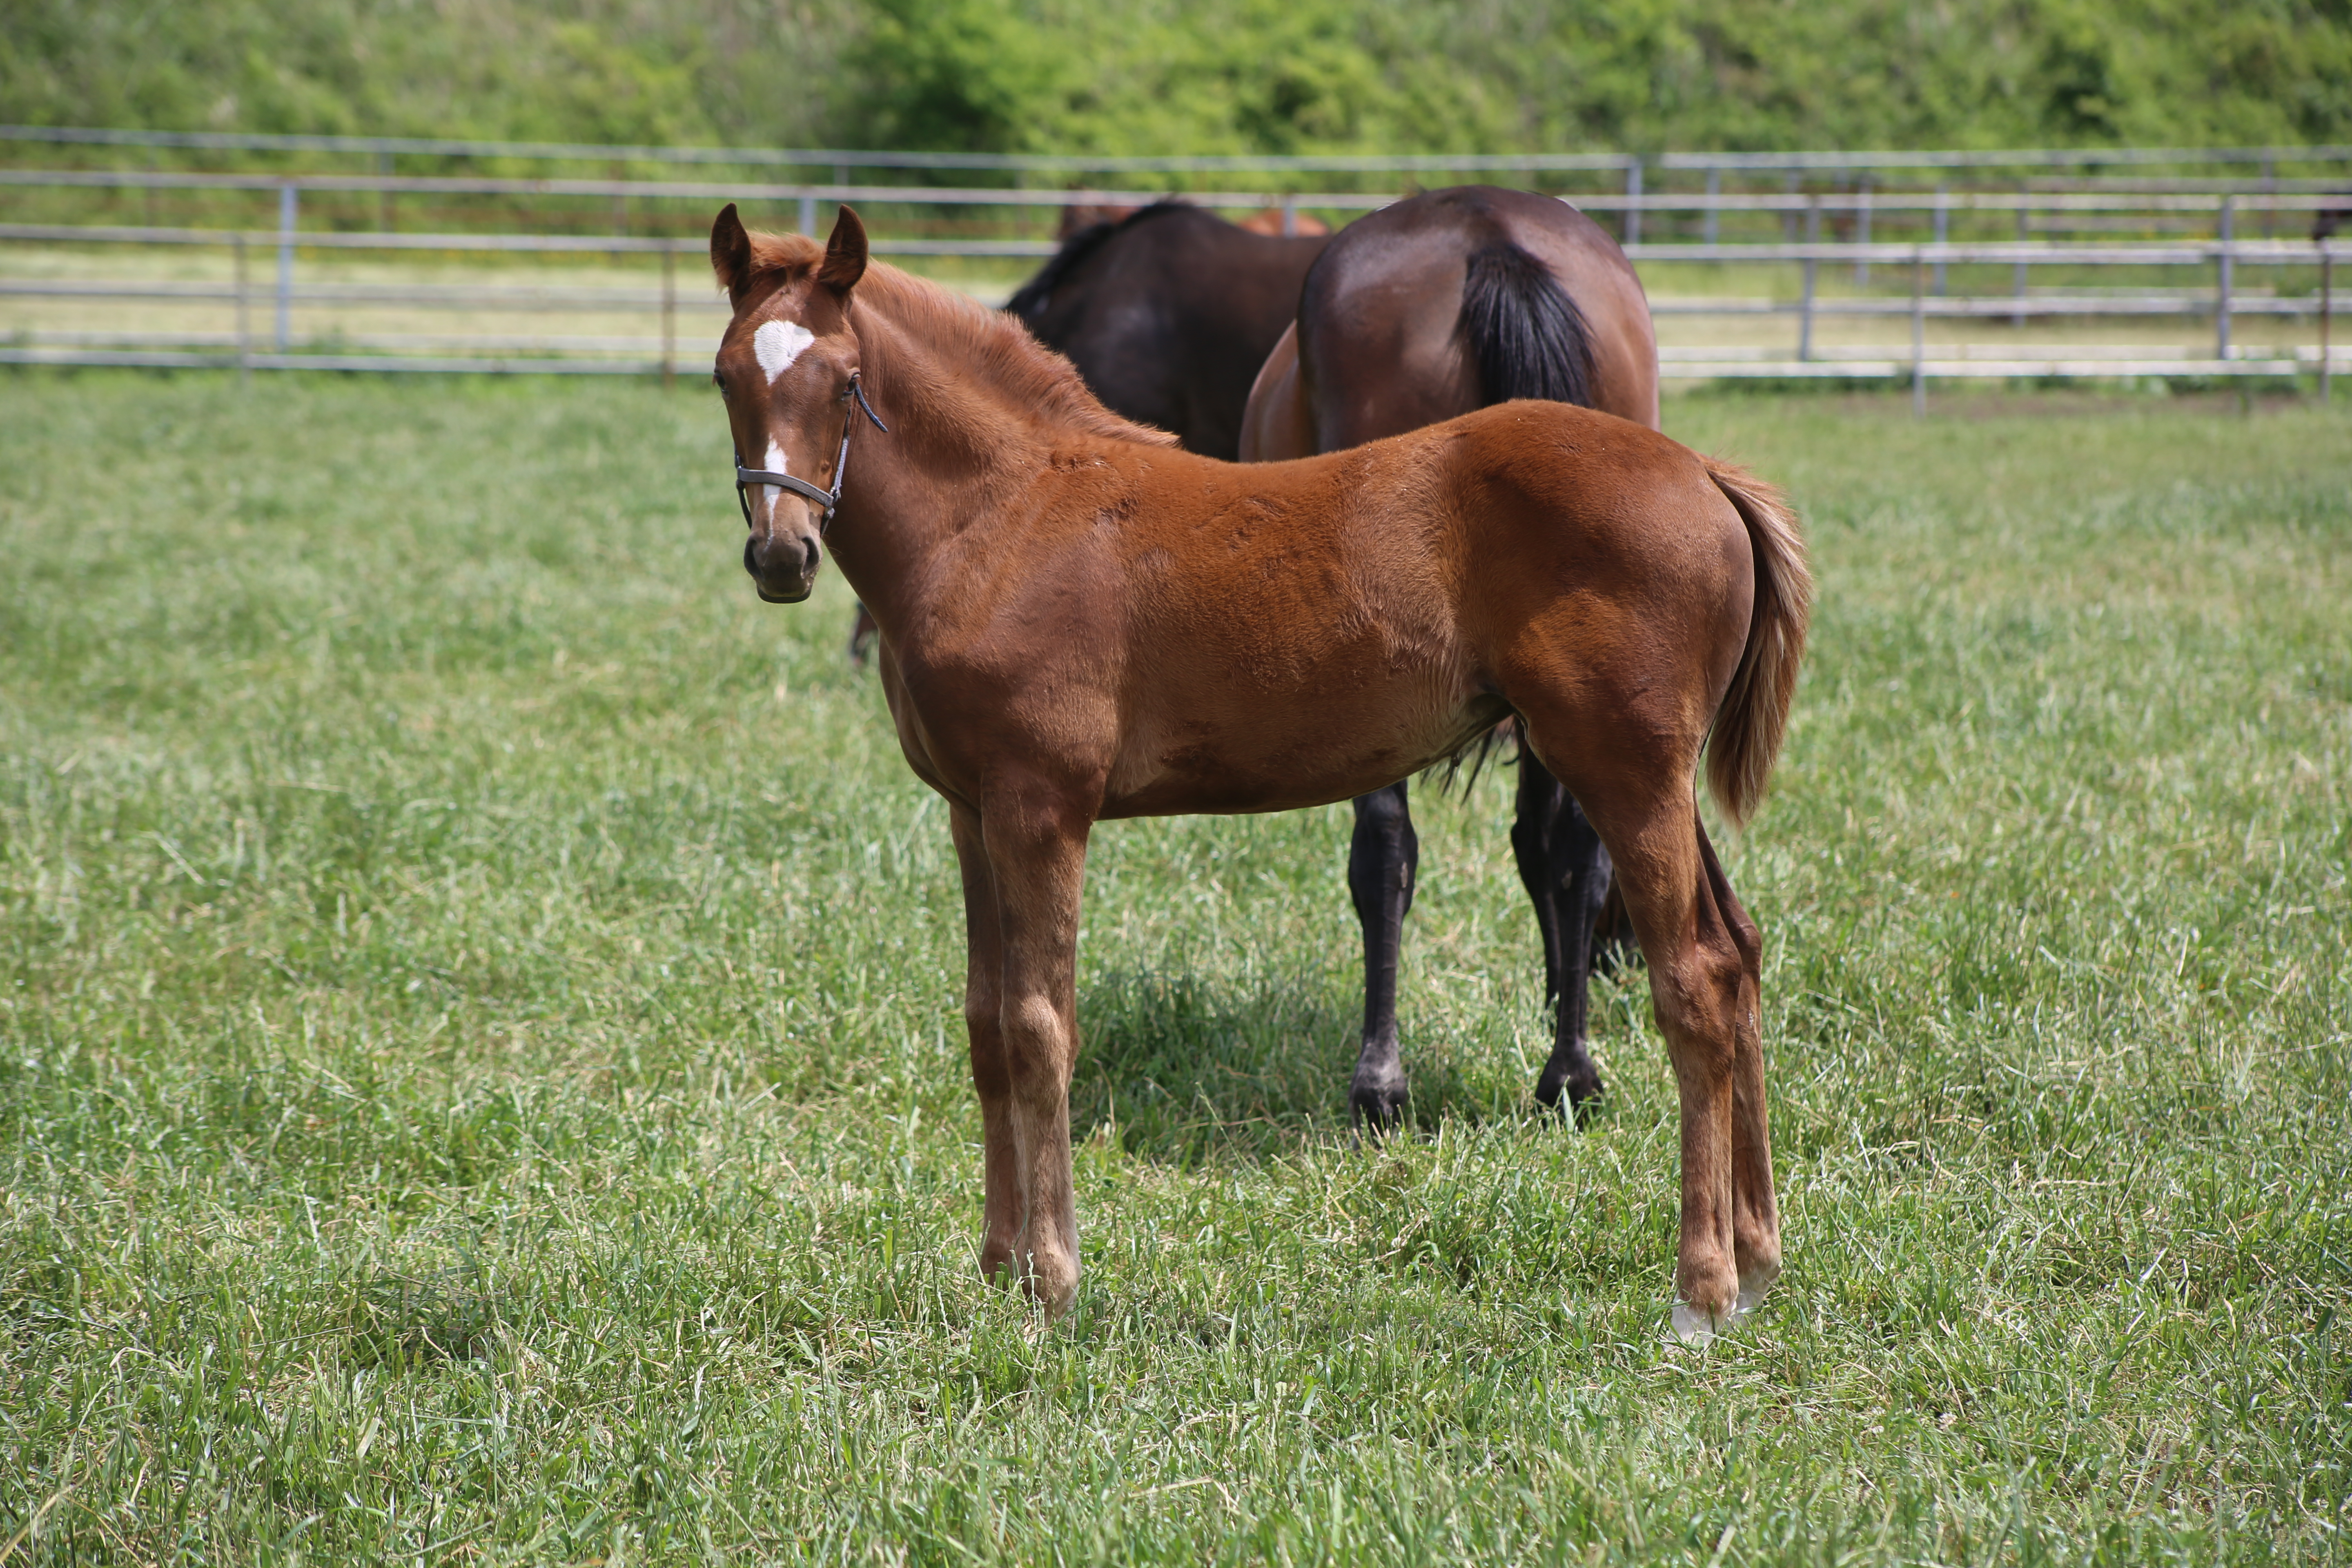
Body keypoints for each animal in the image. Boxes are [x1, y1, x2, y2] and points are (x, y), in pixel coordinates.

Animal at [1242, 190, 1665, 1133]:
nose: (1626, 961)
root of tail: (1491, 233)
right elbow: (1554, 847)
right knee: (1570, 843)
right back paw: (1570, 1077)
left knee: (1384, 853)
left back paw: (1381, 1081)